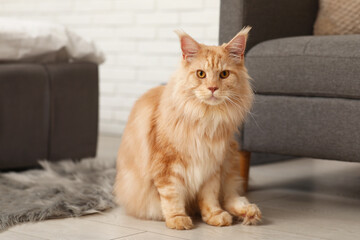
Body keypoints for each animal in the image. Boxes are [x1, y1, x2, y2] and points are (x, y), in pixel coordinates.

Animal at [114, 27, 262, 230]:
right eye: (201, 74)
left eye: (224, 74)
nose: (213, 88)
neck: (206, 120)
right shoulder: (167, 167)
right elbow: (172, 196)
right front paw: (177, 219)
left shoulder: (212, 167)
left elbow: (210, 197)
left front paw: (214, 216)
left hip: (230, 160)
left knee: (230, 196)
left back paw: (249, 212)